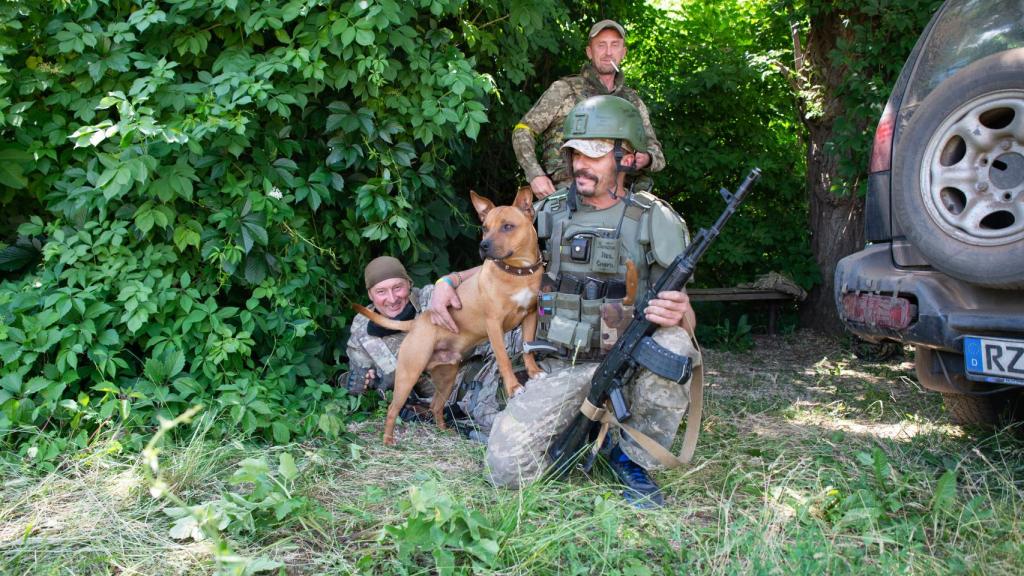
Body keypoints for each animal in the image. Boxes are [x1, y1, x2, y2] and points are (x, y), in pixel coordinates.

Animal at [354, 188, 544, 444]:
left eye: (507, 226)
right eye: (485, 227)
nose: (483, 245)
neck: (518, 272)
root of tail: (417, 322)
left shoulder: (530, 315)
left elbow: (527, 349)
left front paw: (533, 372)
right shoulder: (494, 324)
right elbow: (504, 360)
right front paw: (514, 387)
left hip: (447, 377)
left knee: (435, 405)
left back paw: (444, 430)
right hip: (408, 375)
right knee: (393, 409)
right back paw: (388, 440)